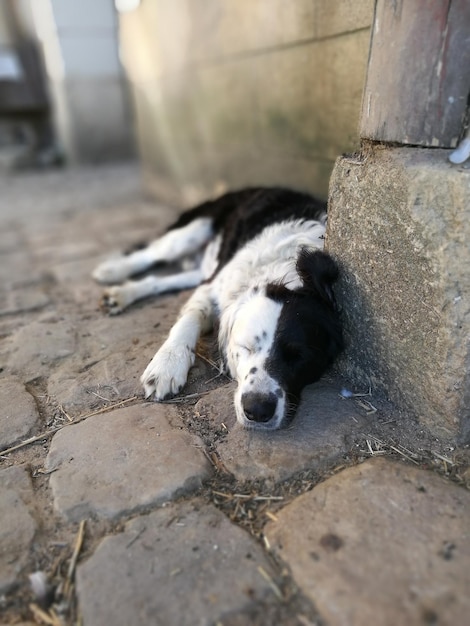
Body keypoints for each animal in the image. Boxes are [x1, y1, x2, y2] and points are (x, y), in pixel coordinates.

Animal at [92, 186, 342, 428]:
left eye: (299, 356)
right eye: (245, 347)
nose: (258, 410)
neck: (286, 274)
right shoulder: (214, 288)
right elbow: (189, 319)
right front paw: (167, 365)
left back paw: (120, 293)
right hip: (194, 231)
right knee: (150, 254)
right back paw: (112, 270)